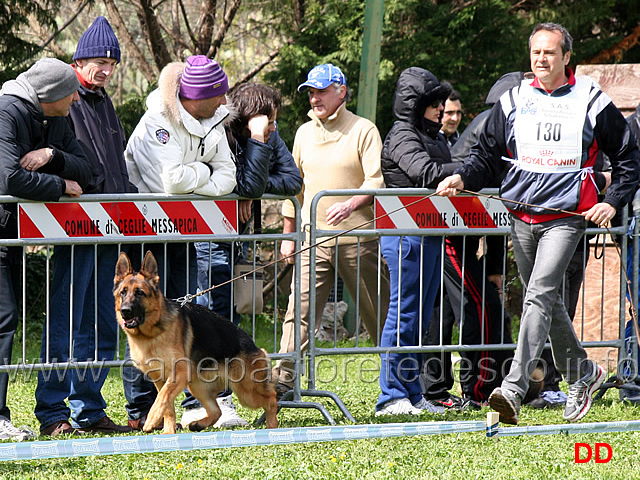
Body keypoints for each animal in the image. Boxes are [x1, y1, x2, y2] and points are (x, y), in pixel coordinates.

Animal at [114, 251, 278, 436]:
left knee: (272, 399)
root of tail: (255, 346)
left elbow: (162, 398)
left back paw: (272, 427)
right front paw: (168, 433)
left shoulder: (178, 373)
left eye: (140, 293)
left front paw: (151, 419)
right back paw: (198, 424)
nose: (125, 311)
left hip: (246, 391)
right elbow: (167, 405)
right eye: (123, 293)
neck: (153, 333)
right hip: (198, 387)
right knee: (216, 411)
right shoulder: (161, 379)